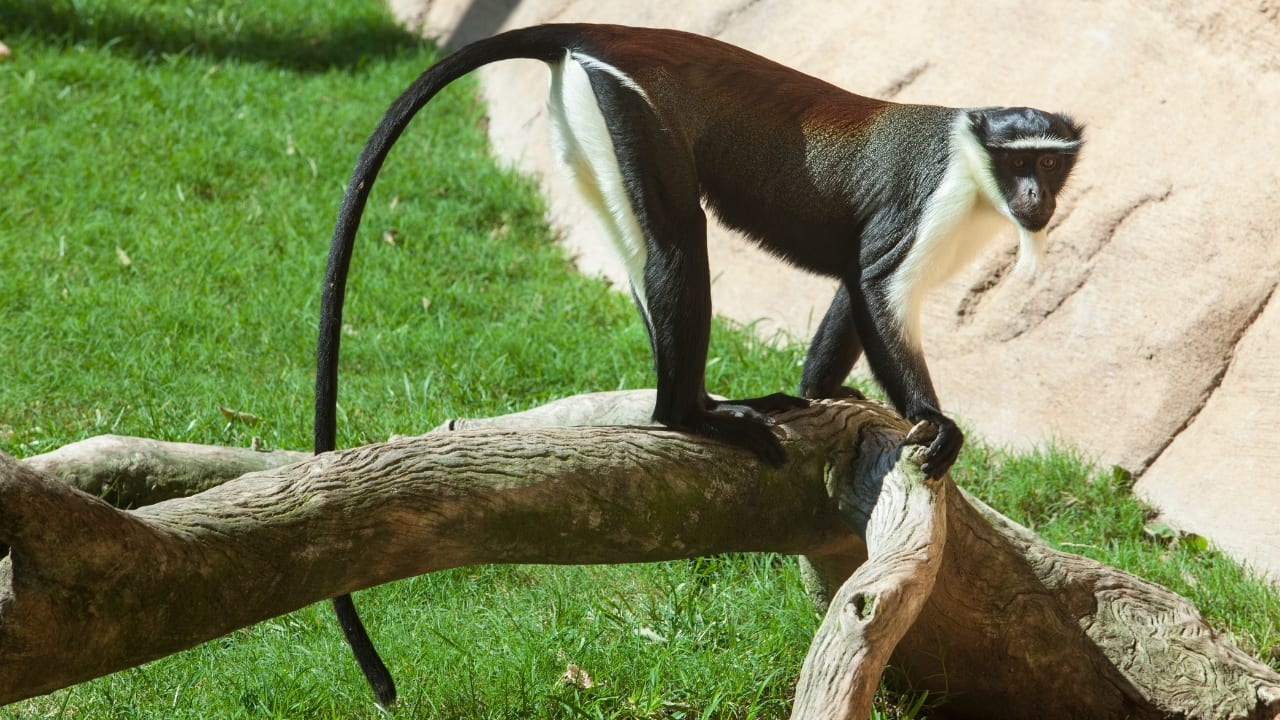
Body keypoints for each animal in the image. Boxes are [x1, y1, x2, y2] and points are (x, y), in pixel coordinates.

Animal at [312, 24, 1083, 705]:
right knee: (681, 239)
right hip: (634, 112)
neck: (974, 164)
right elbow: (873, 282)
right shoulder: (927, 205)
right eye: (1020, 163)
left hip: (598, 126)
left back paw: (704, 403)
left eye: (1049, 163)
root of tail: (603, 31)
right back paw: (688, 415)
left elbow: (849, 288)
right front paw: (932, 422)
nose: (1035, 199)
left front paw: (823, 391)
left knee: (646, 253)